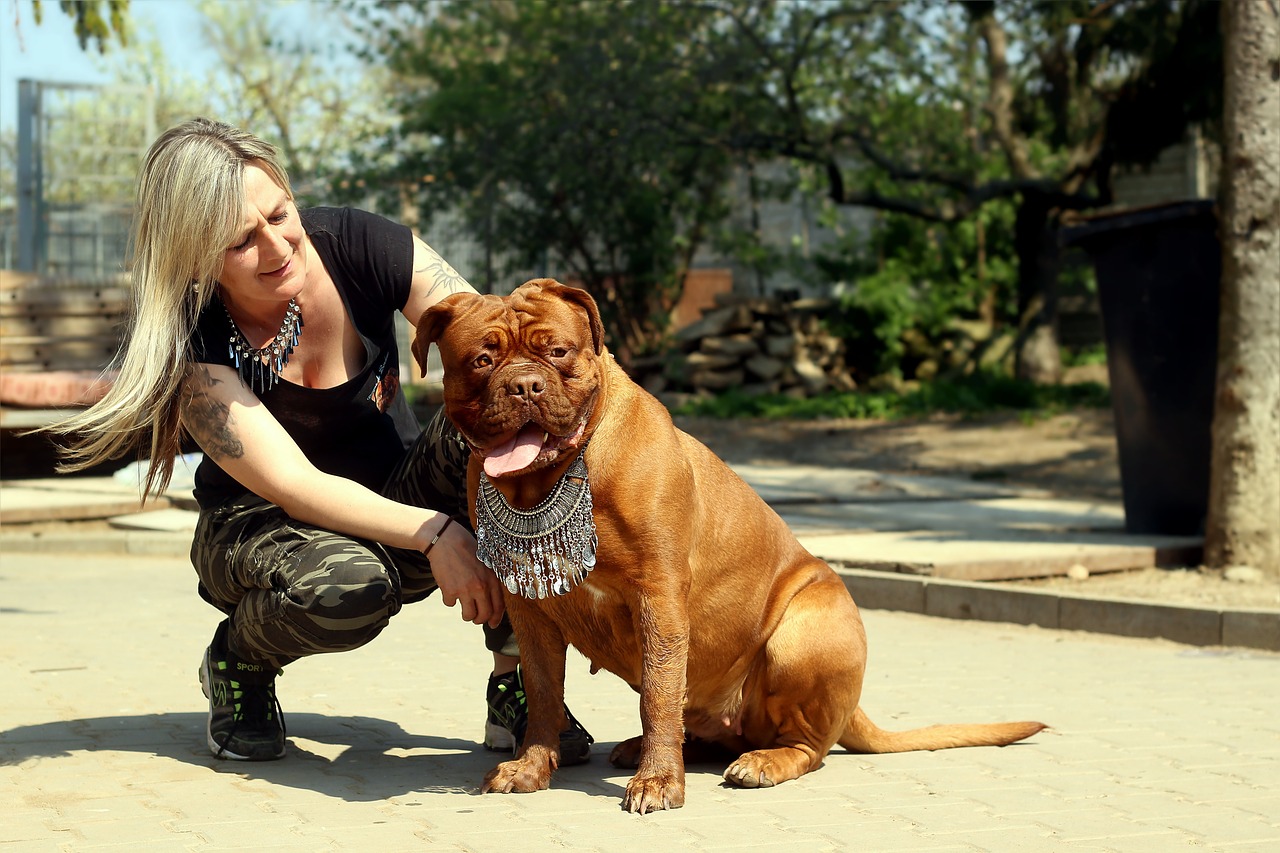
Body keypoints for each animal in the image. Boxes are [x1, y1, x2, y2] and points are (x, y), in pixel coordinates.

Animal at [414, 277, 1044, 809]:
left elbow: (658, 692)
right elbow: (545, 693)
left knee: (808, 746)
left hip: (803, 633)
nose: (524, 385)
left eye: (559, 352)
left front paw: (658, 782)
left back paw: (761, 761)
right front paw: (531, 767)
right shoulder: (532, 610)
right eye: (483, 360)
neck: (557, 475)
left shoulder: (658, 596)